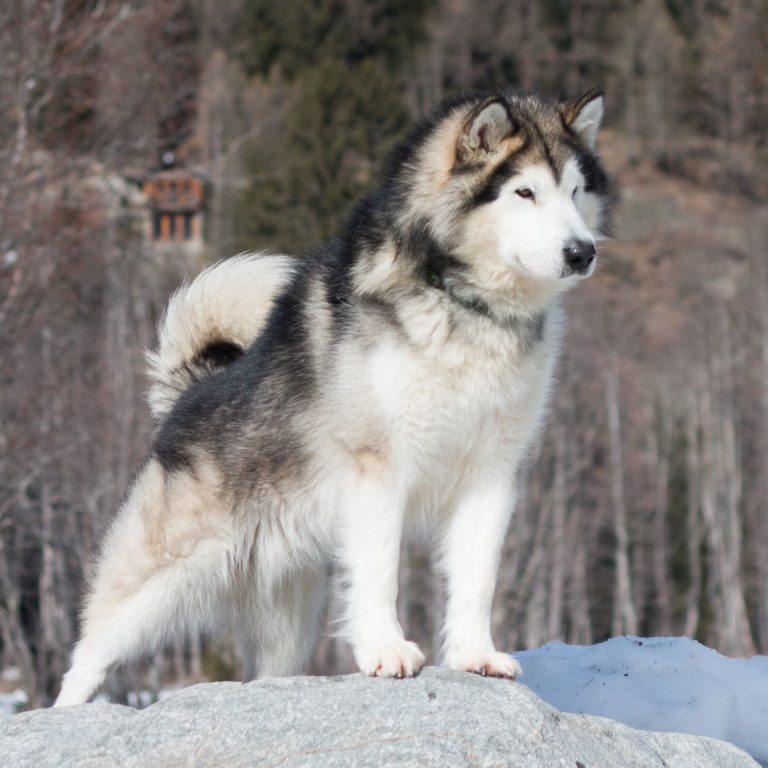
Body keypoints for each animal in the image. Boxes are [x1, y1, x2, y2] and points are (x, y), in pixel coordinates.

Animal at [55, 87, 612, 704]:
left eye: (575, 191)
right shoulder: (379, 470)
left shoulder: (493, 473)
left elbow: (477, 578)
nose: (582, 252)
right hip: (163, 580)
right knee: (87, 654)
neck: (464, 307)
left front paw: (474, 655)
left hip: (289, 618)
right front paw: (386, 650)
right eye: (525, 192)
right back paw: (69, 709)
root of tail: (188, 395)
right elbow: (381, 573)